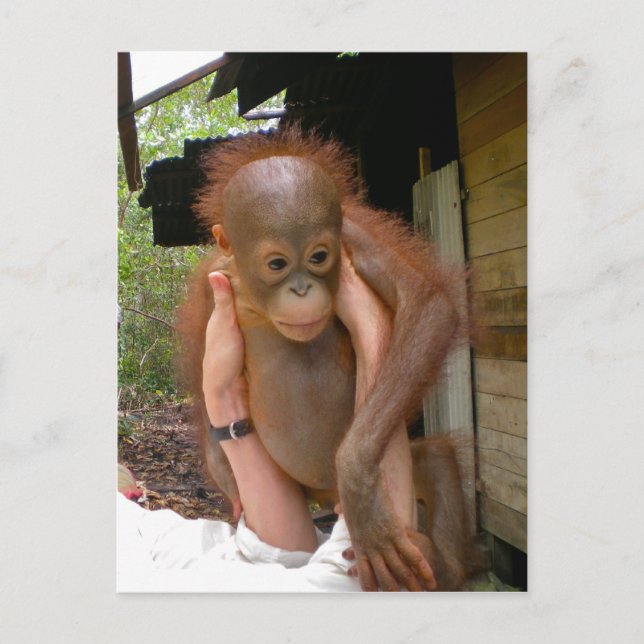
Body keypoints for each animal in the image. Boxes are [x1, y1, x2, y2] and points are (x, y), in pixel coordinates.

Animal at [176, 128, 471, 591]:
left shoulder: (355, 234)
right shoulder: (212, 278)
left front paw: (360, 488)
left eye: (318, 257)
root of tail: (323, 497)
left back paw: (440, 563)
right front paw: (224, 474)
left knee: (436, 457)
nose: (302, 290)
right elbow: (202, 364)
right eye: (277, 264)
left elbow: (429, 305)